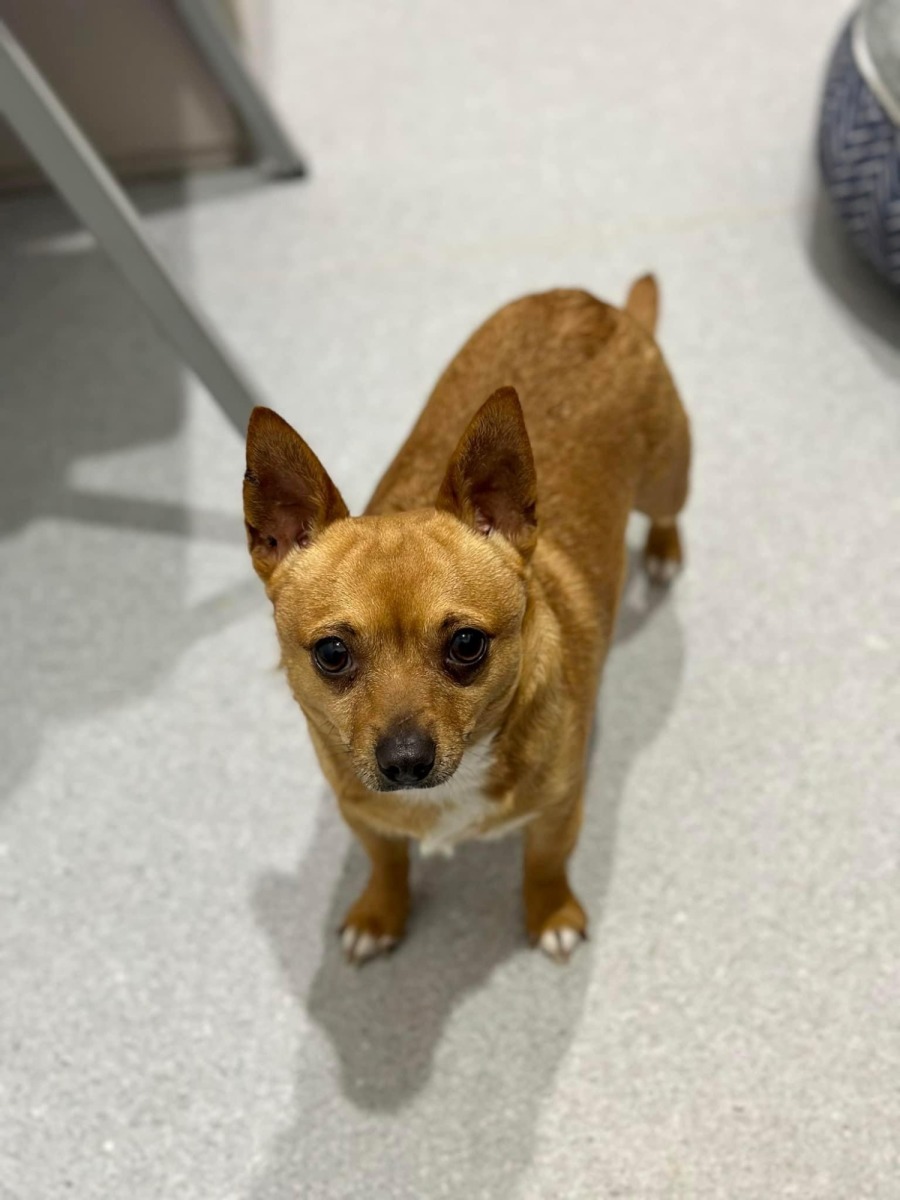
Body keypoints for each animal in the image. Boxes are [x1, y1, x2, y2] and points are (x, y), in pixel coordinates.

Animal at [243, 276, 690, 964]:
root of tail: (593, 303)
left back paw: (665, 551)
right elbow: (386, 863)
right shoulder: (365, 820)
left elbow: (544, 865)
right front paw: (380, 913)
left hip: (669, 476)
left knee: (669, 512)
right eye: (331, 655)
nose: (404, 761)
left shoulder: (559, 815)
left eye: (467, 644)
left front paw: (550, 913)